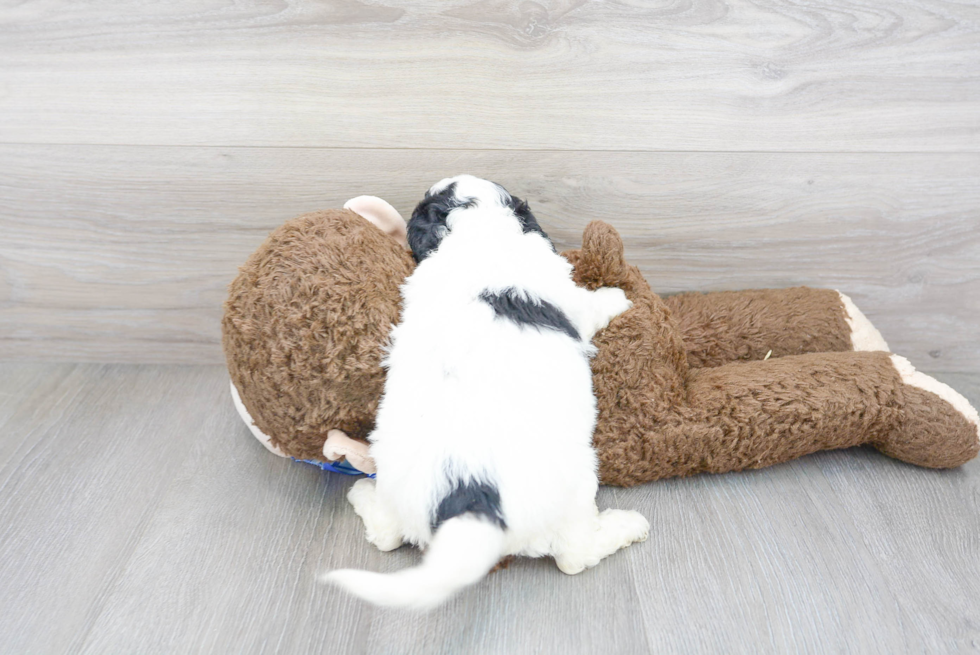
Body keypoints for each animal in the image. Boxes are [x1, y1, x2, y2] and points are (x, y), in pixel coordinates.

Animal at [322, 174, 652, 608]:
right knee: (574, 557)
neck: (478, 231)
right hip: (576, 485)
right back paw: (628, 526)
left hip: (395, 485)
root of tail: (468, 500)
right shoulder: (571, 300)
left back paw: (361, 492)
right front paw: (617, 296)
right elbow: (593, 304)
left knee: (386, 535)